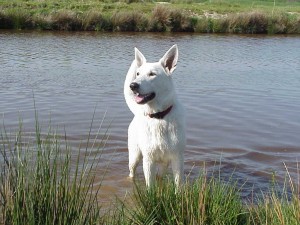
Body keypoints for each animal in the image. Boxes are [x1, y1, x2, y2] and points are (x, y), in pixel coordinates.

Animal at [122, 44, 184, 187]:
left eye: (152, 74)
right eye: (138, 73)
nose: (133, 85)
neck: (158, 116)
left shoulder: (177, 158)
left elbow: (178, 185)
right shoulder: (148, 160)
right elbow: (150, 186)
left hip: (164, 164)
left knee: (160, 176)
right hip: (134, 156)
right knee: (132, 172)